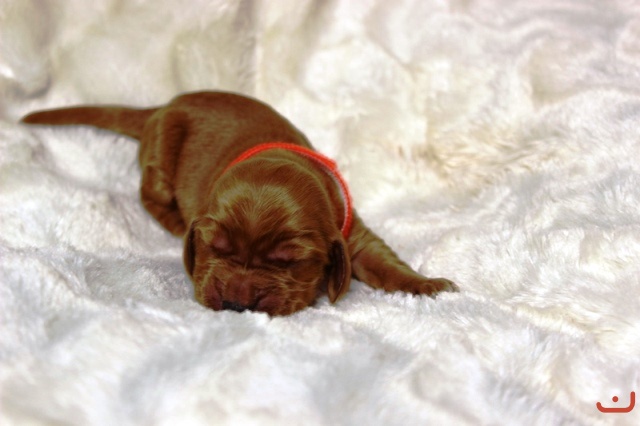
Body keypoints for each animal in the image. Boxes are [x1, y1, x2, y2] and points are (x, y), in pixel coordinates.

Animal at [22, 91, 458, 315]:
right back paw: (174, 220)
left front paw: (426, 285)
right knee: (148, 194)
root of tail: (162, 106)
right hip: (163, 147)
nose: (237, 303)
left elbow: (385, 261)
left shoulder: (353, 233)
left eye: (289, 261)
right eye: (214, 247)